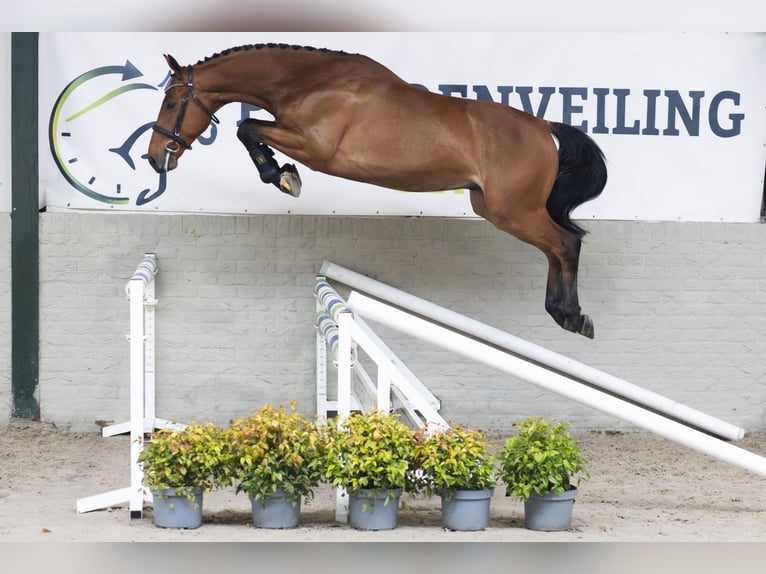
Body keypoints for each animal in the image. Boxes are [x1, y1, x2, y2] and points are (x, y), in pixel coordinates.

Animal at [147, 43, 607, 338]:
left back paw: (572, 316)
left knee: (565, 243)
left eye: (170, 104)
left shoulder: (315, 148)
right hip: (497, 210)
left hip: (513, 211)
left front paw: (283, 176)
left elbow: (247, 127)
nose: (155, 158)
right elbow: (249, 127)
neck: (312, 82)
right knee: (555, 248)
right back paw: (561, 313)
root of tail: (544, 127)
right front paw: (283, 174)